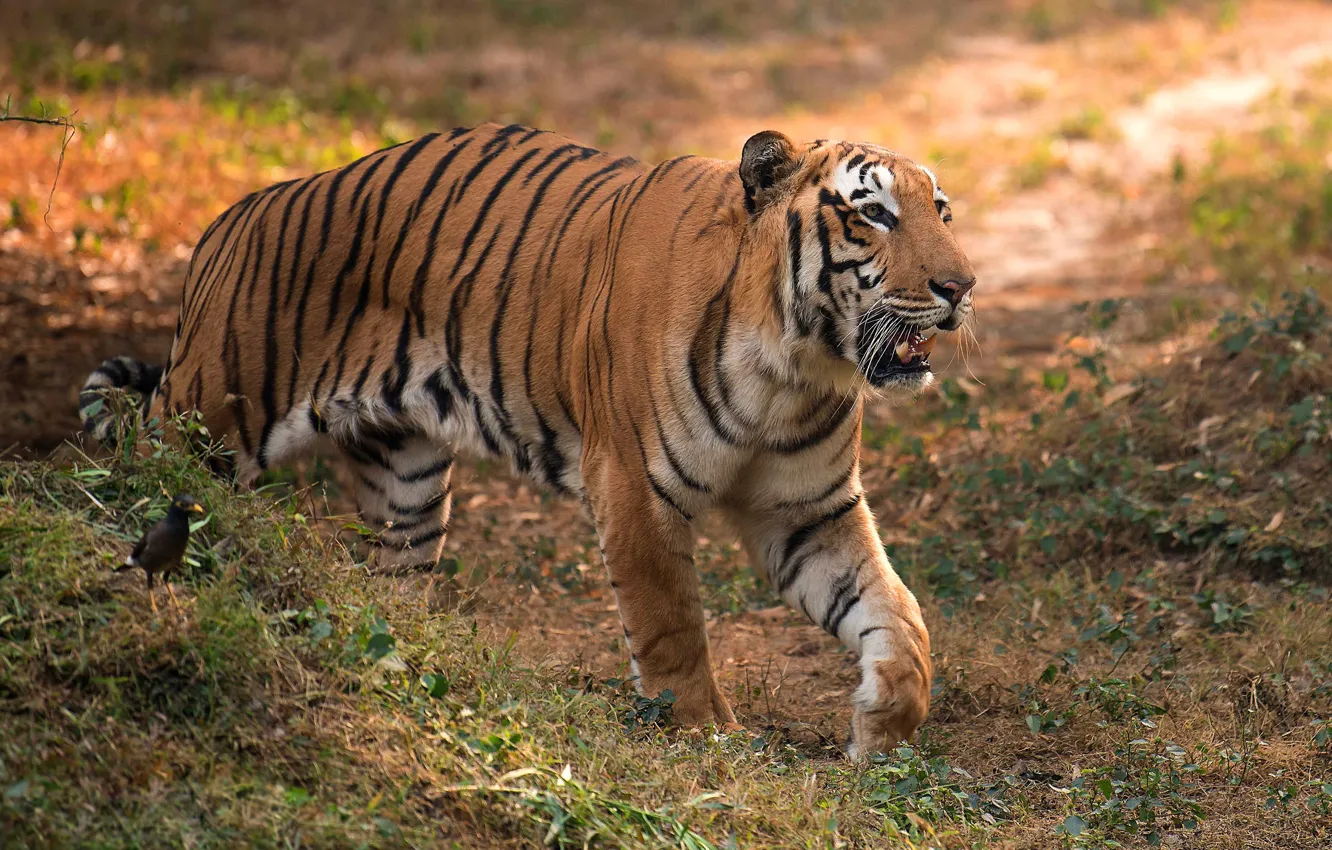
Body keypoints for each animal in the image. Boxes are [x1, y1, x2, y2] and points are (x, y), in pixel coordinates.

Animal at [80, 123, 976, 757]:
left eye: (941, 211)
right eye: (873, 212)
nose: (962, 286)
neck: (796, 364)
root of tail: (228, 220)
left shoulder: (809, 511)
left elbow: (898, 613)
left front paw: (884, 726)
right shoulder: (635, 488)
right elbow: (671, 624)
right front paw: (706, 737)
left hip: (406, 489)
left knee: (386, 589)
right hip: (207, 421)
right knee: (123, 478)